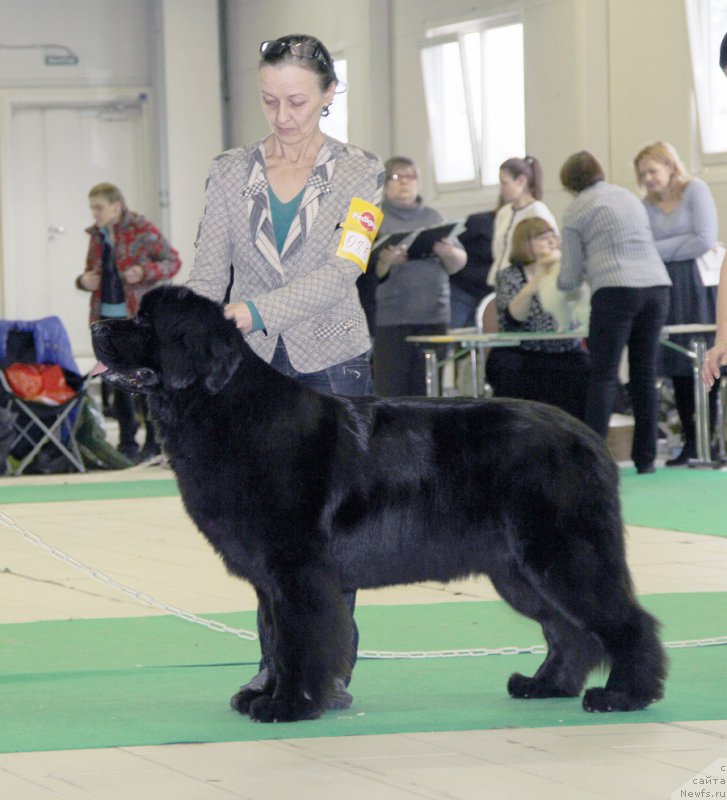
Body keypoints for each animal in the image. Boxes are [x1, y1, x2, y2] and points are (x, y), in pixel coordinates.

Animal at [94, 284, 668, 720]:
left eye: (144, 321)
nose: (97, 326)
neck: (222, 408)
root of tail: (589, 436)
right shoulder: (270, 578)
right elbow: (275, 639)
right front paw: (266, 694)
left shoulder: (298, 571)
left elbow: (300, 641)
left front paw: (288, 705)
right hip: (518, 571)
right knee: (567, 628)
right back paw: (544, 685)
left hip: (563, 554)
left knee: (625, 621)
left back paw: (624, 695)